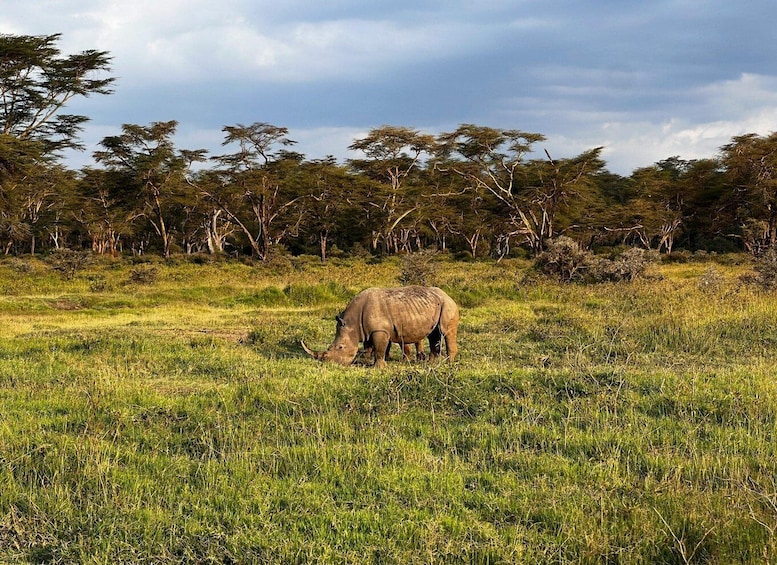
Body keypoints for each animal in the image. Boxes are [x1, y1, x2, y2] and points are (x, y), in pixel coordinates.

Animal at [301, 286, 459, 368]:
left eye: (340, 347)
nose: (328, 363)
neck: (352, 322)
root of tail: (449, 295)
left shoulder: (380, 330)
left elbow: (379, 349)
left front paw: (378, 368)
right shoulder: (369, 330)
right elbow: (372, 347)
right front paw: (370, 361)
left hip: (448, 305)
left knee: (446, 332)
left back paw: (448, 364)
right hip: (436, 305)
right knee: (434, 334)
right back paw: (431, 363)